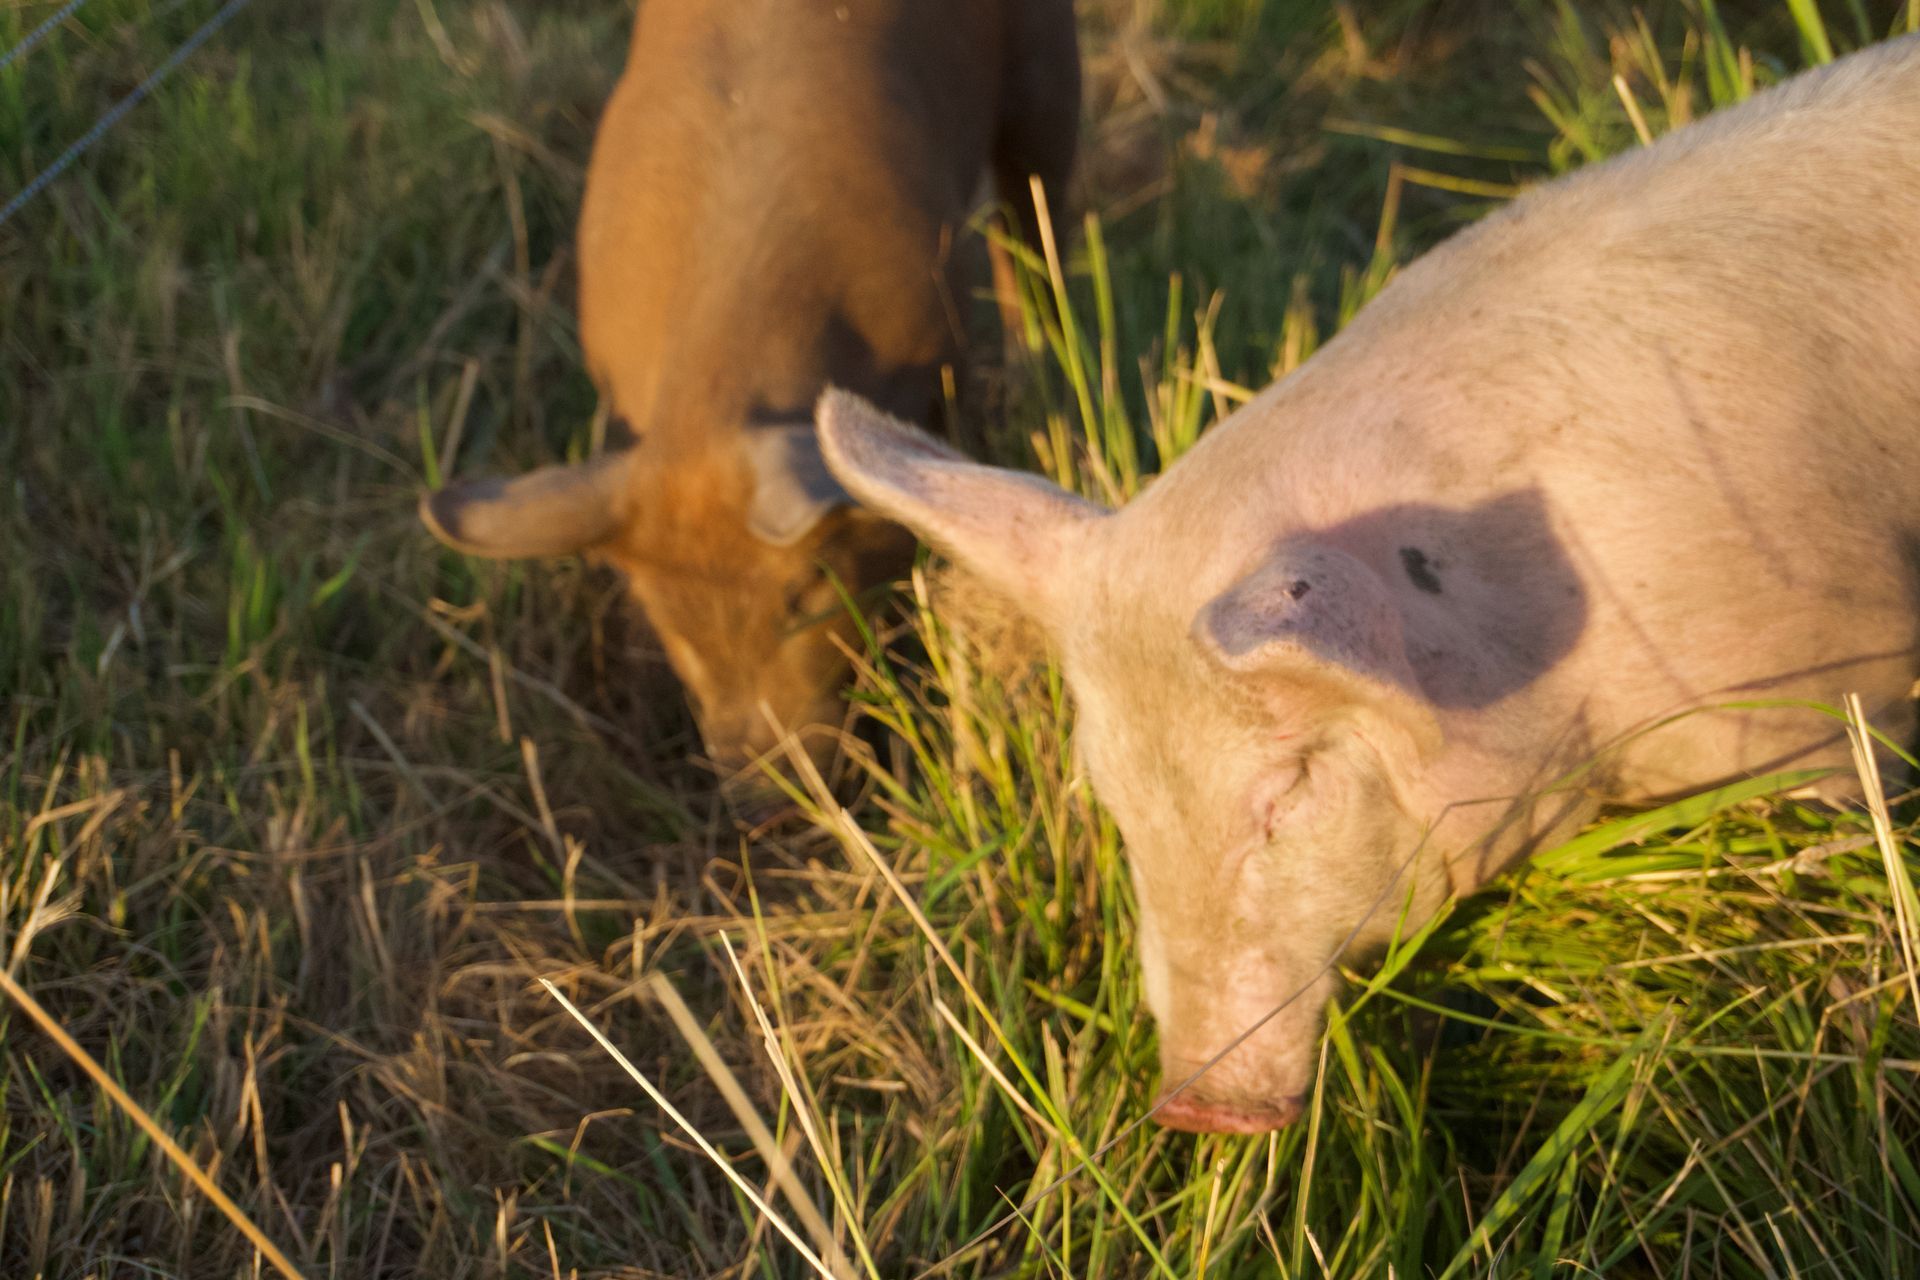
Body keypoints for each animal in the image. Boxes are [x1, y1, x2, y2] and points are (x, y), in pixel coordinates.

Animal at [420, 0, 1079, 809]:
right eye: (662, 614)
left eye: (803, 592)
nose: (765, 800)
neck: (716, 395)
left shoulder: (938, 337)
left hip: (1046, 64)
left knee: (1035, 214)